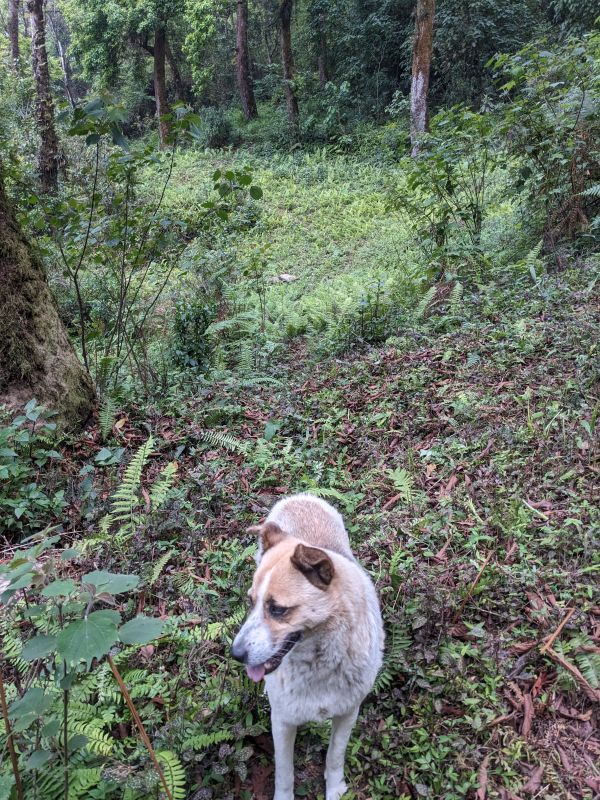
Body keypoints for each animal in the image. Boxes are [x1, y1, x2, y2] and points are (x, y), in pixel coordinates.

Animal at [232, 494, 382, 800]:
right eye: (251, 602)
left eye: (277, 609)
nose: (236, 654)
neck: (319, 662)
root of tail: (302, 497)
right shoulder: (282, 721)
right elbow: (284, 771)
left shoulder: (348, 712)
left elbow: (334, 756)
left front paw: (335, 789)